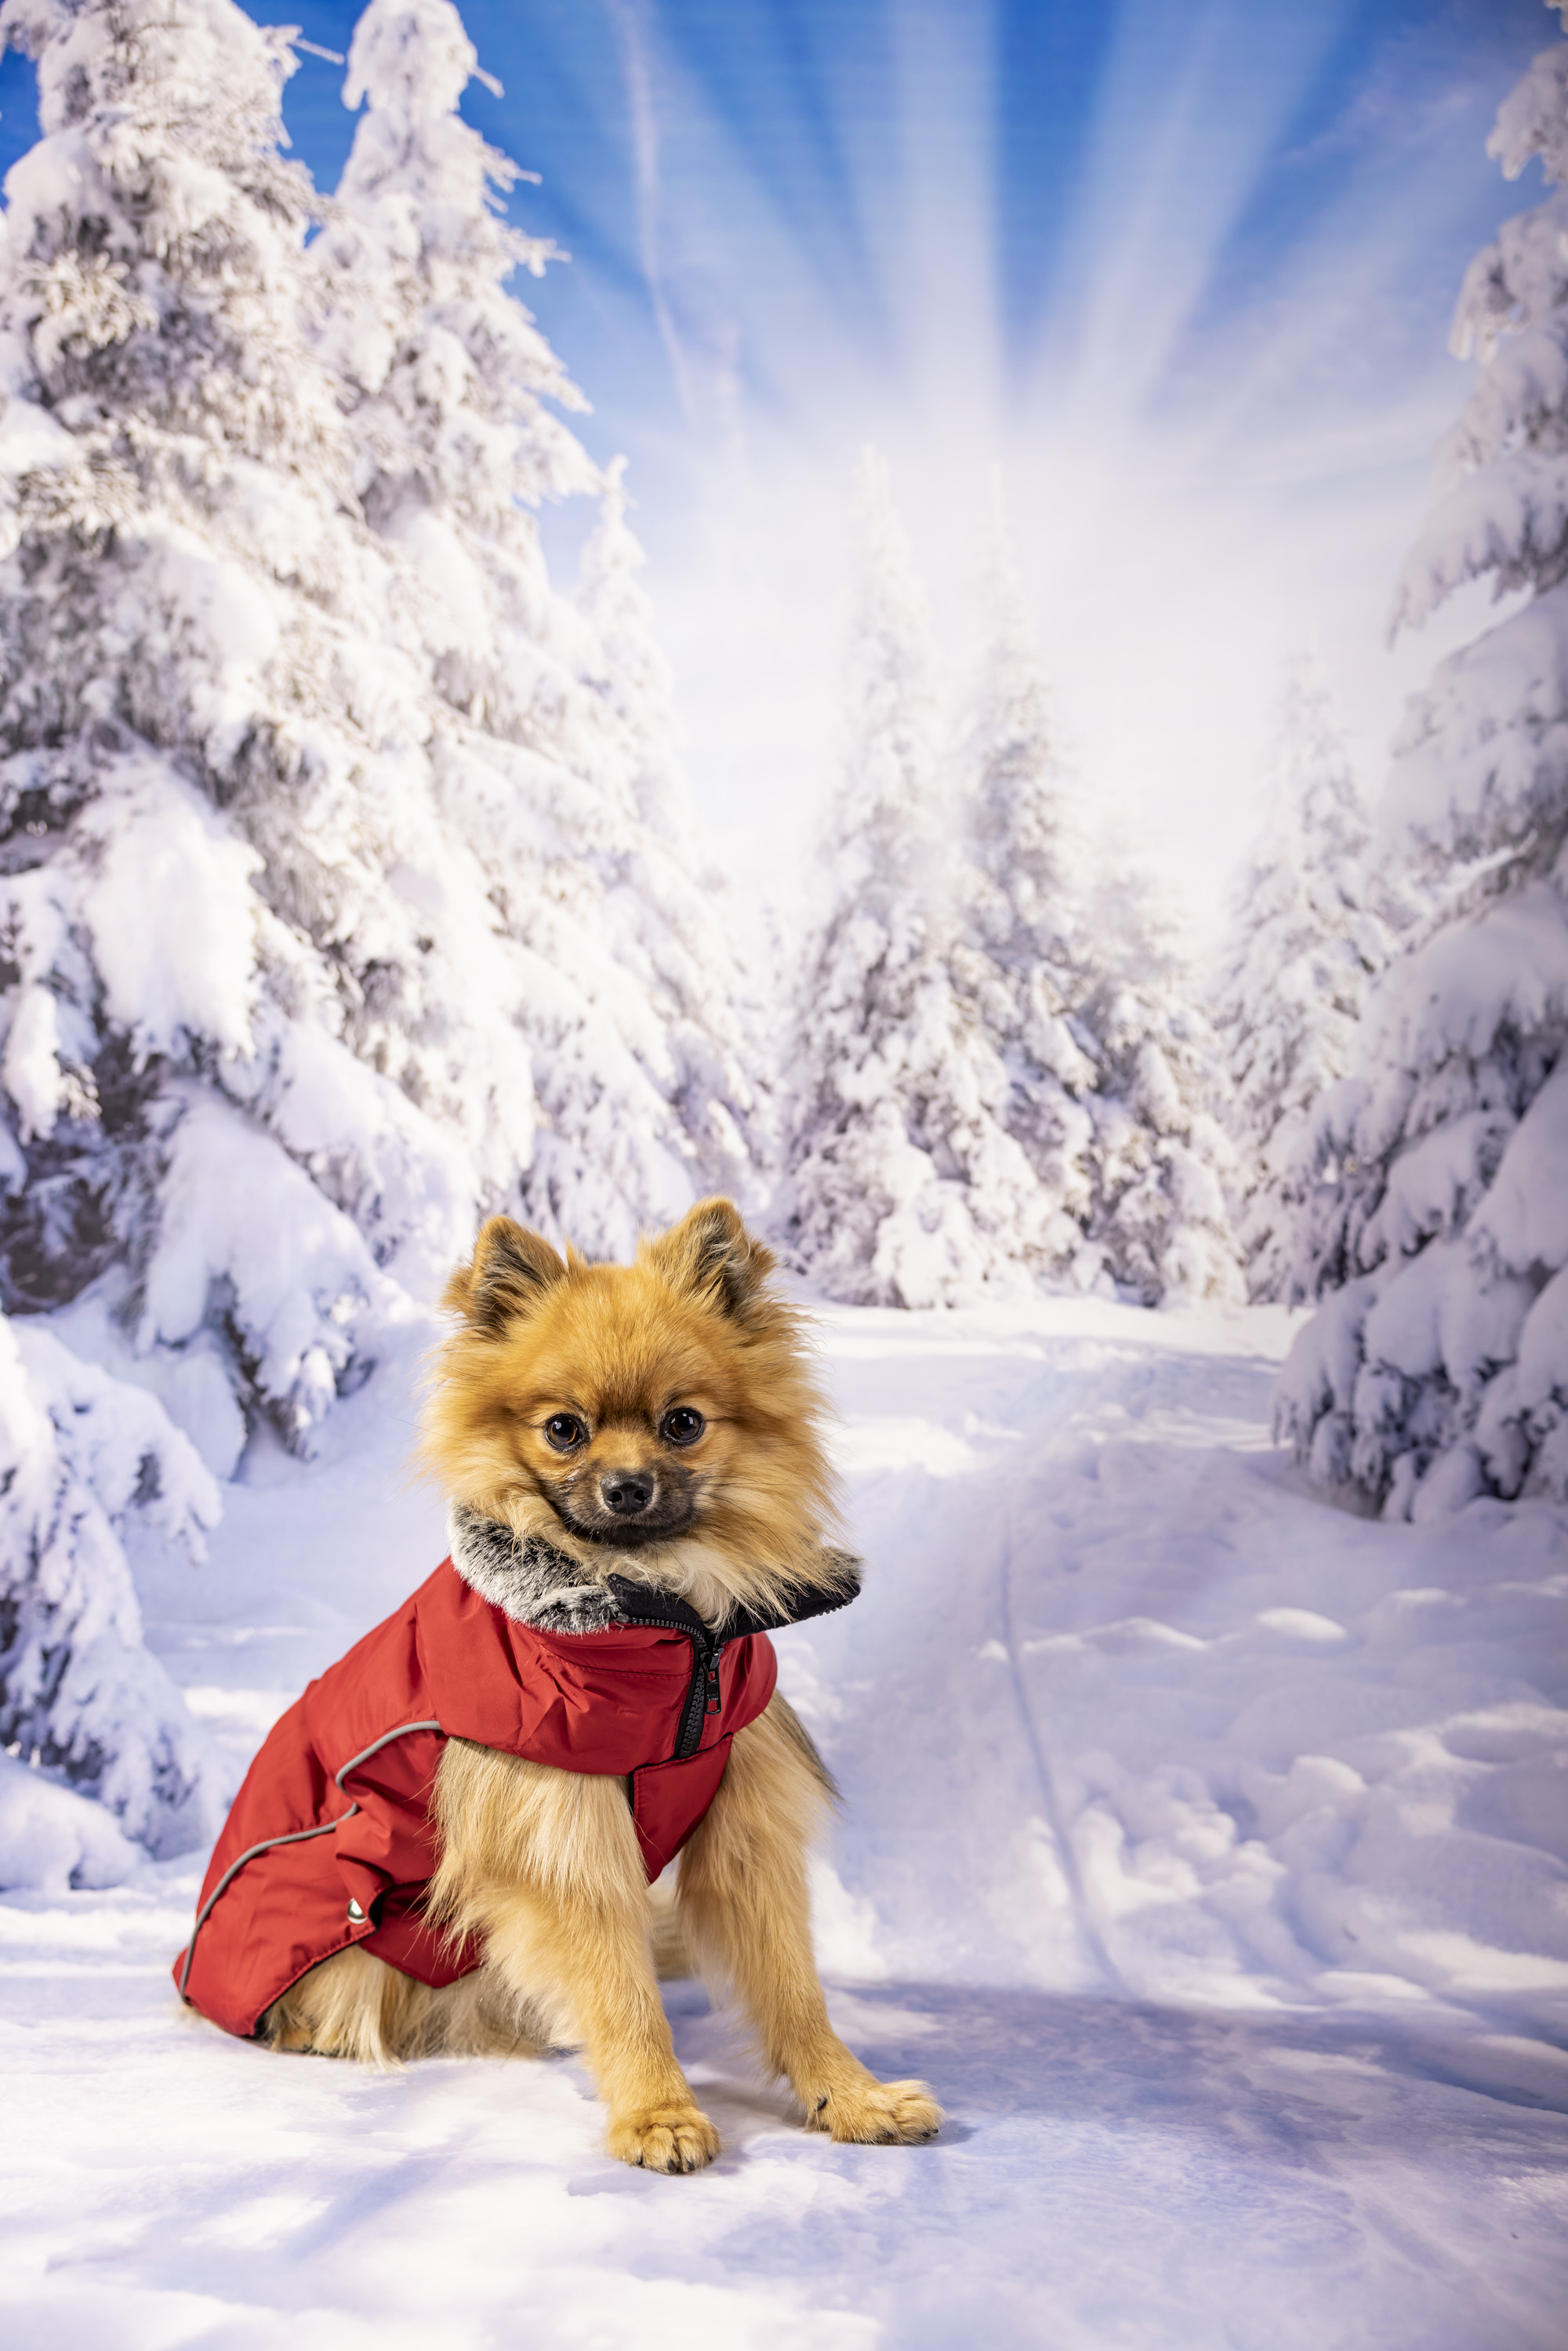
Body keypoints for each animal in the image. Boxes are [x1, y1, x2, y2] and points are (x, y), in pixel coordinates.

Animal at [190, 1203, 940, 2172]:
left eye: (682, 1422)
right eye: (564, 1430)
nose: (625, 1486)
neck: (670, 1635)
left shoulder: (742, 1821)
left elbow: (792, 1987)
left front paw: (849, 2095)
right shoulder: (562, 1834)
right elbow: (623, 1995)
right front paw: (657, 2112)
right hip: (355, 1948)